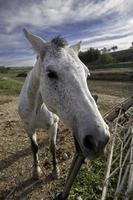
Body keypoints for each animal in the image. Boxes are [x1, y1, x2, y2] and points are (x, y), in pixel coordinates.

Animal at [18, 28, 110, 199]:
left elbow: (52, 147)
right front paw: (36, 171)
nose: (100, 140)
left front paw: (55, 171)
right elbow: (34, 148)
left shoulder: (53, 125)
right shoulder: (28, 127)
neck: (37, 107)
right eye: (51, 73)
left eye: (87, 74)